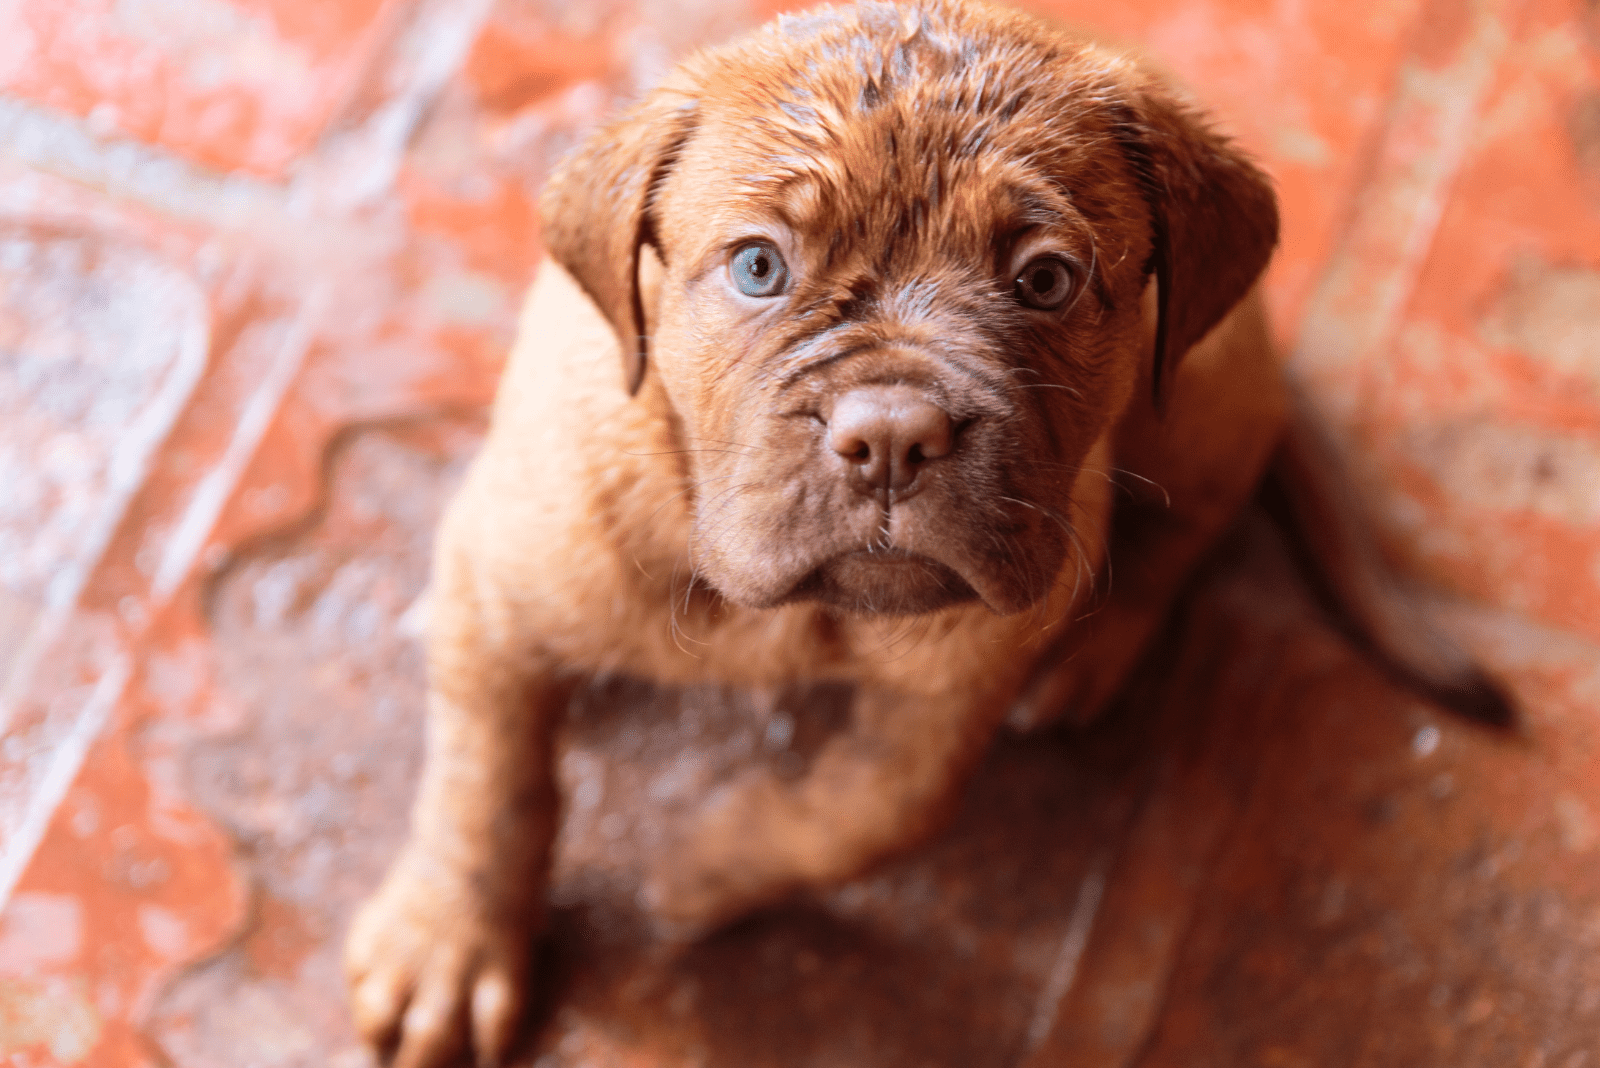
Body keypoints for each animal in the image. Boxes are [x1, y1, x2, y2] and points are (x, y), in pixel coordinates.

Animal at [344, 4, 1504, 1061]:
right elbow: (486, 784)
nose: (894, 436)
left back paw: (1092, 658)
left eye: (1046, 279)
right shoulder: (501, 588)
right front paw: (448, 947)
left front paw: (708, 869)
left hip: (1198, 396)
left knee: (1192, 527)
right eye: (758, 268)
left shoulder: (960, 678)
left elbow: (874, 812)